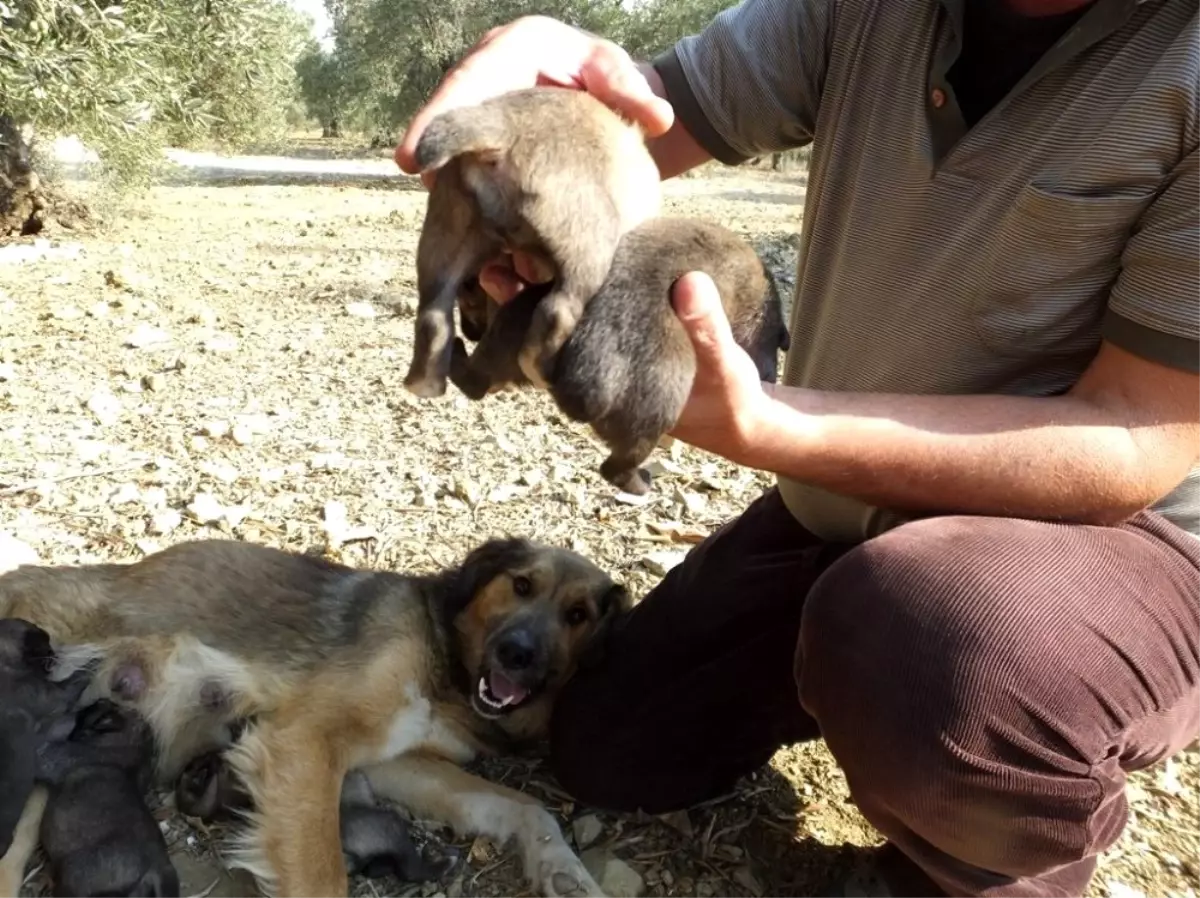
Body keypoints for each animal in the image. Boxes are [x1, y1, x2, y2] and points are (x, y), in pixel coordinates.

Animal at [451, 217, 796, 494]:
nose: (768, 379)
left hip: (515, 320)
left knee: (475, 378)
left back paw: (458, 354)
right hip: (655, 407)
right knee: (616, 466)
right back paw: (640, 483)